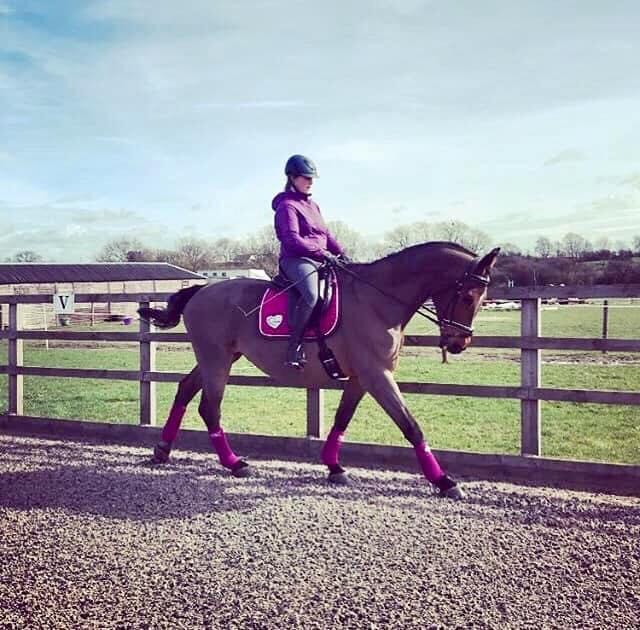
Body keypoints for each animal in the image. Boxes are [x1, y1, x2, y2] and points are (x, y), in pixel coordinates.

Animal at [139, 243, 500, 504]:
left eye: (482, 297)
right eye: (468, 296)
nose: (458, 343)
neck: (376, 300)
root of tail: (200, 290)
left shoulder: (361, 378)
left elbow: (342, 418)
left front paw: (334, 466)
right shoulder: (377, 375)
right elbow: (411, 426)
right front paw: (445, 481)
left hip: (218, 357)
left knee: (186, 390)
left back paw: (162, 450)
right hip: (216, 360)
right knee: (209, 407)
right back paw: (234, 463)